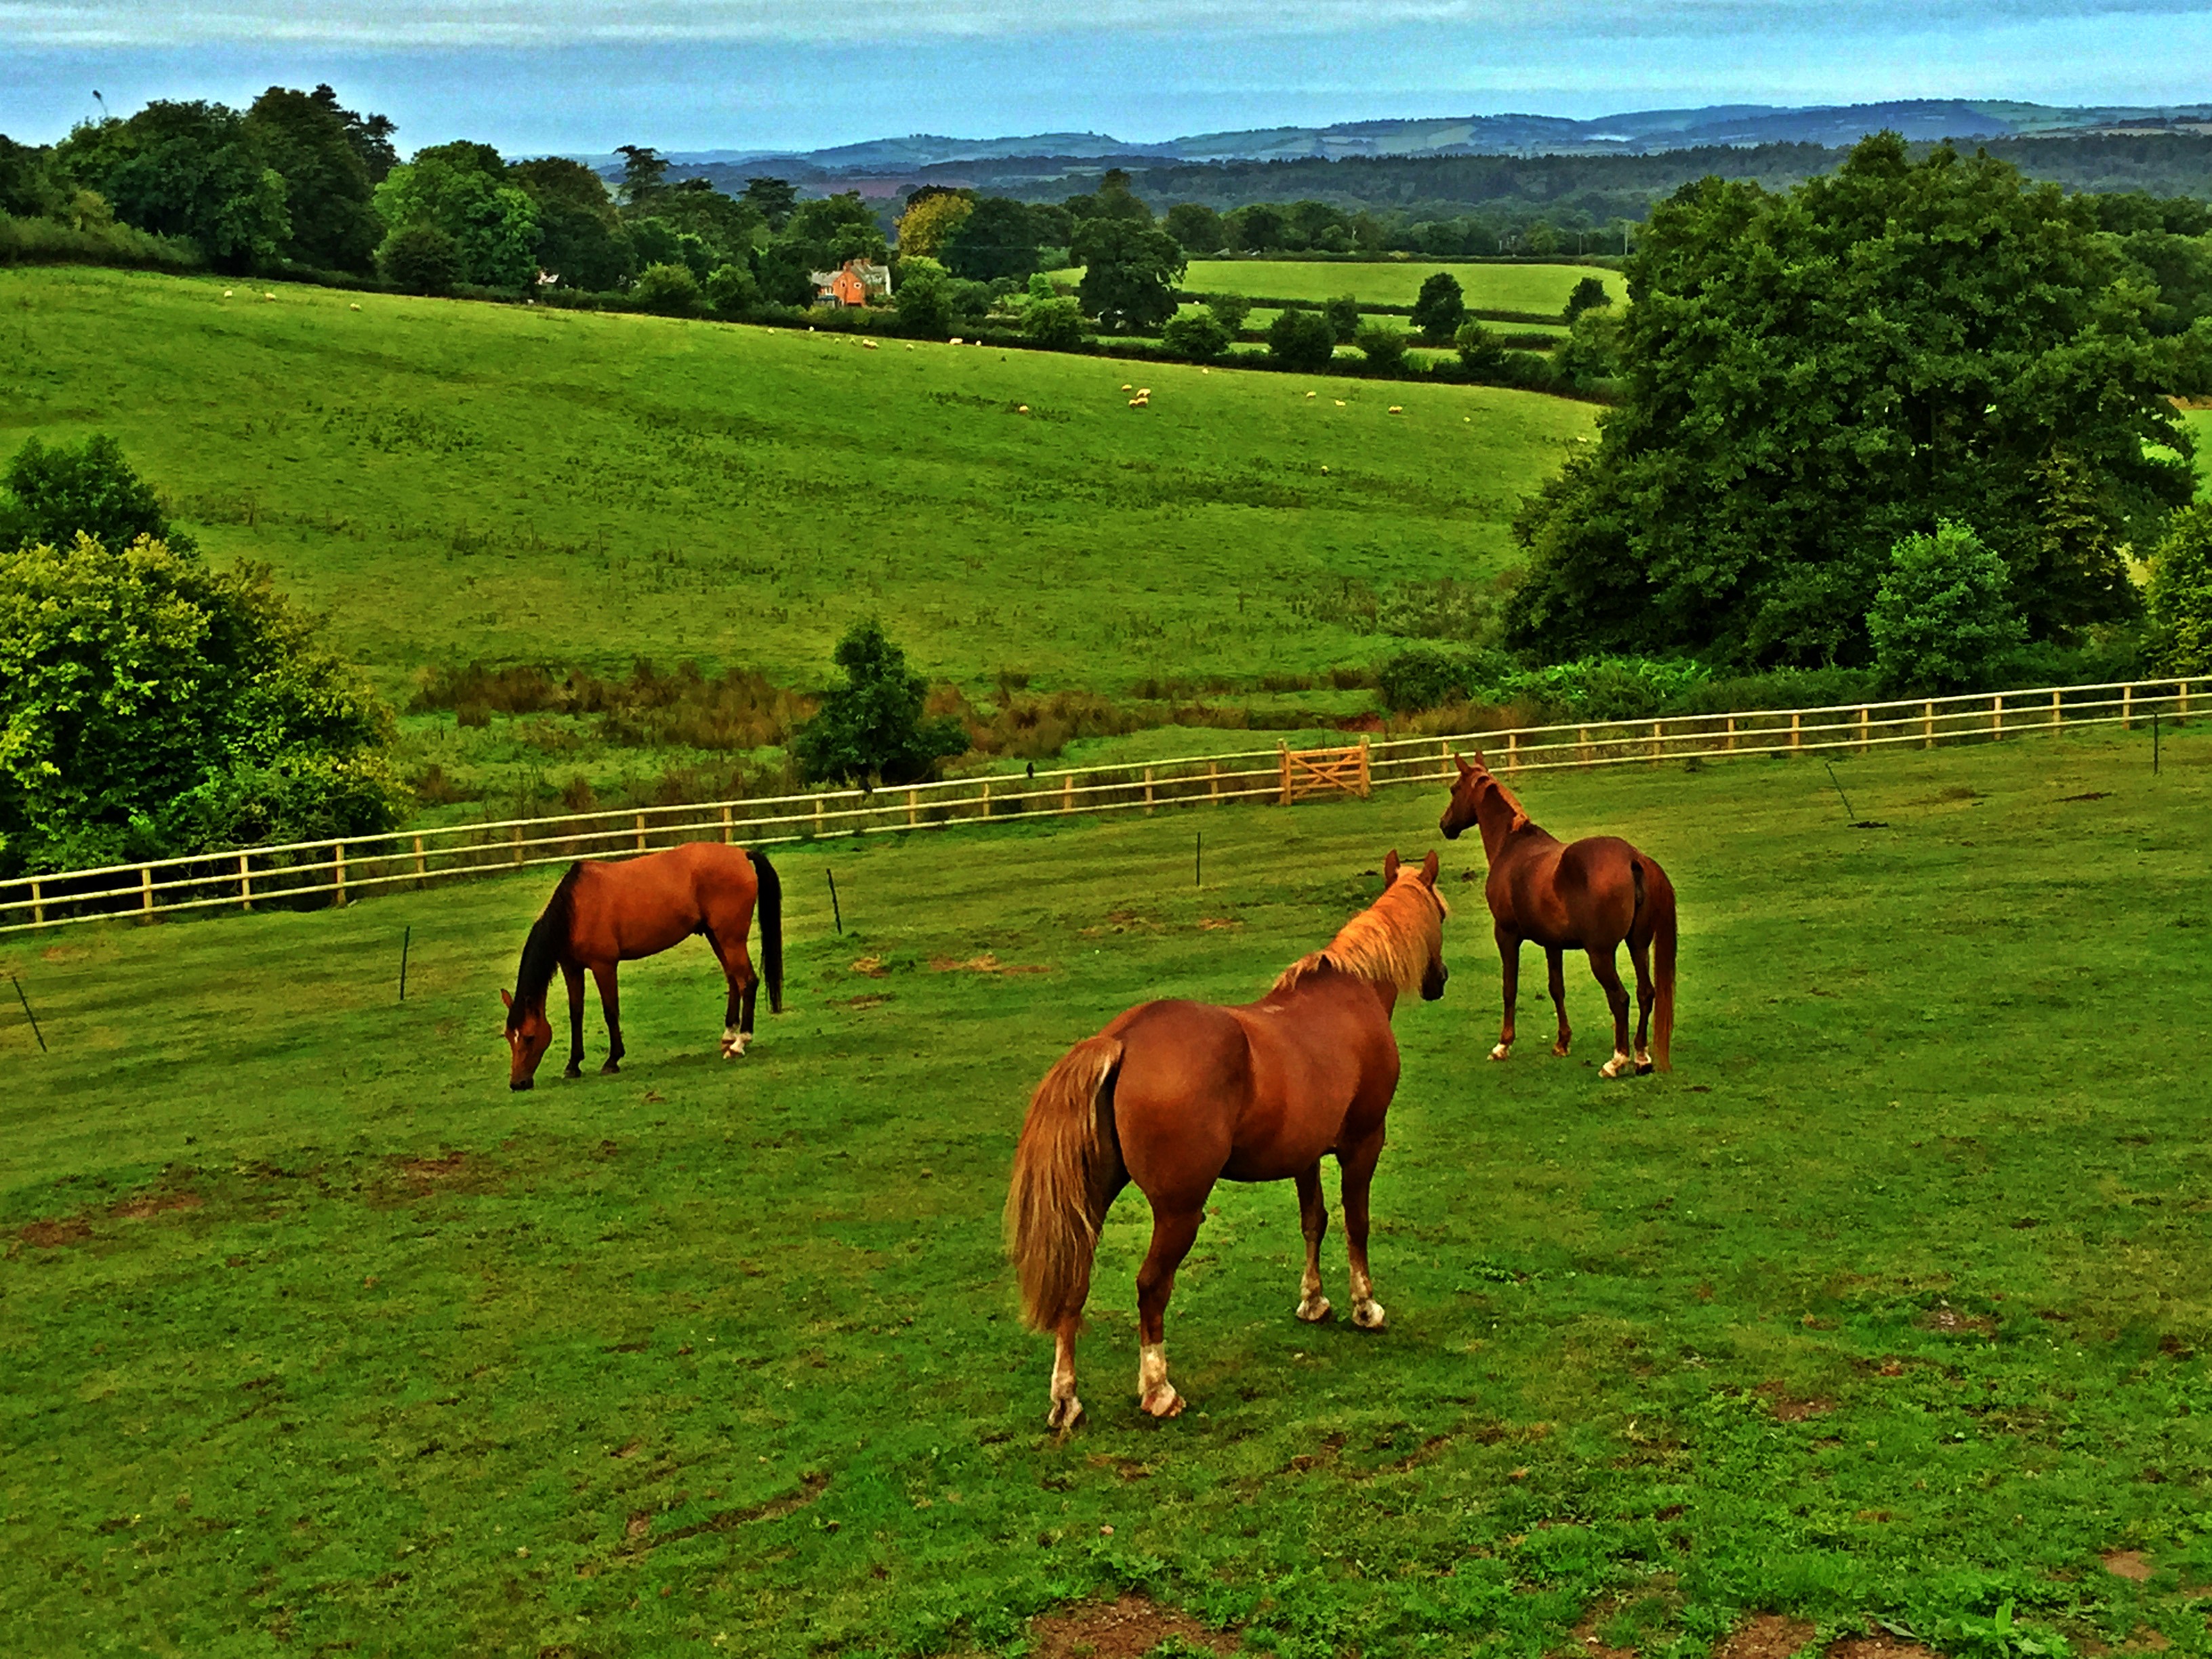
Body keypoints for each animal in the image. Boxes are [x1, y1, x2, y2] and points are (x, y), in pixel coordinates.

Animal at [500, 842, 782, 1091]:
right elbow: (576, 1014)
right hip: (716, 936)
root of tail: (741, 854)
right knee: (733, 979)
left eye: (529, 1037)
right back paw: (729, 1036)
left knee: (748, 982)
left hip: (731, 938)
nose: (517, 1084)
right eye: (508, 1036)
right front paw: (573, 1065)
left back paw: (740, 1042)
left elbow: (610, 1011)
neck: (574, 909)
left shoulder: (604, 966)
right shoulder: (572, 968)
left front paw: (612, 1060)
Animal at [1004, 850, 1449, 1430]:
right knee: (1151, 1287)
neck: (1354, 994)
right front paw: (1365, 1307)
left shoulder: (1305, 1156)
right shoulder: (1364, 1143)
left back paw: (1066, 1401)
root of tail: (1121, 1040)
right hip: (1179, 1212)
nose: (1441, 979)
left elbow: (1314, 1222)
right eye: (1443, 913)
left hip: (1093, 1201)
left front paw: (1313, 1302)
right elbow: (1357, 1224)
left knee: (1074, 1284)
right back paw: (1159, 1390)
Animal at [1438, 752, 1674, 1078]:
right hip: (1637, 945)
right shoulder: (1553, 944)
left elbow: (1509, 988)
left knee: (1620, 998)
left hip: (1601, 954)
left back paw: (1617, 1061)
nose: (1445, 825)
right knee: (1645, 993)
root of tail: (1633, 858)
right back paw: (1641, 1057)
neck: (1512, 846)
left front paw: (1503, 1045)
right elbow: (1556, 989)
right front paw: (1562, 1043)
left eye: (1454, 789)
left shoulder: (1506, 935)